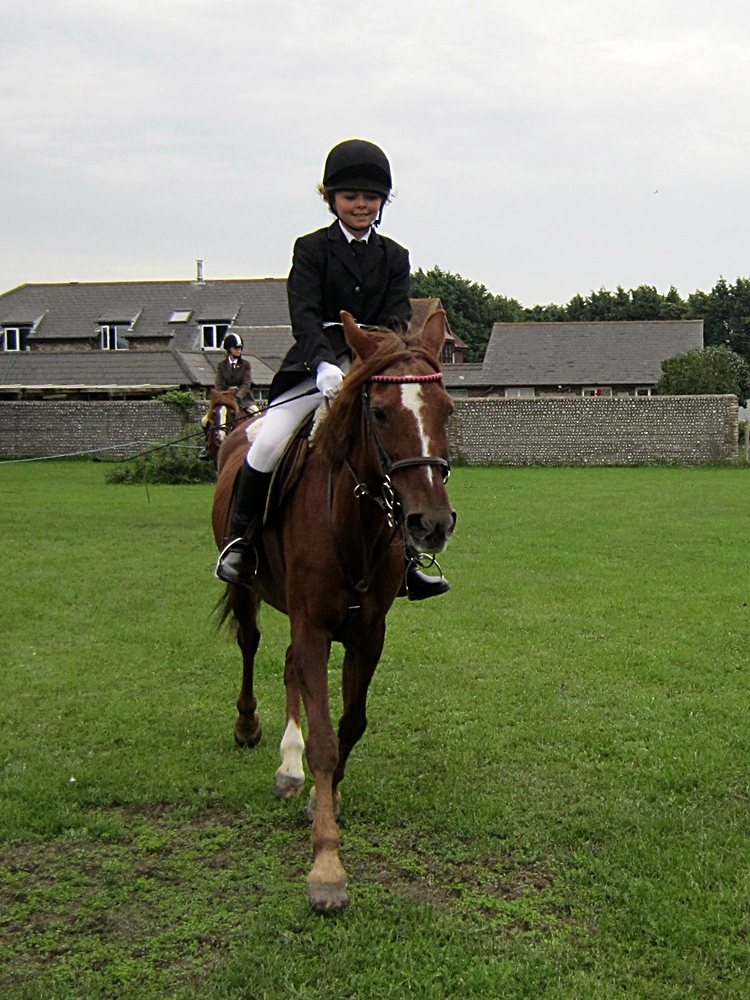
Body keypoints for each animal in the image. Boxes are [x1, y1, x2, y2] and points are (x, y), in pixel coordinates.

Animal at [212, 310, 456, 913]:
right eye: (380, 412)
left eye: (446, 410)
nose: (432, 523)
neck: (355, 521)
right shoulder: (316, 627)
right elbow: (324, 741)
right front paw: (326, 866)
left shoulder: (367, 633)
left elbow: (351, 722)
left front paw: (327, 801)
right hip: (251, 592)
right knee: (252, 645)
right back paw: (251, 729)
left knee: (288, 666)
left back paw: (288, 765)